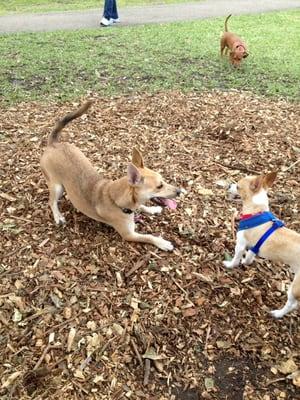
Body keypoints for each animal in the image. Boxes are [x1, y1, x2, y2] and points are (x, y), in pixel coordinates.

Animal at [39, 101, 180, 250]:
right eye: (159, 186)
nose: (179, 191)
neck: (117, 200)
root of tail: (53, 144)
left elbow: (142, 206)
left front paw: (152, 209)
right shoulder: (129, 235)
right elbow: (149, 237)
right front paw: (163, 243)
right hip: (57, 187)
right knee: (52, 202)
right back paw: (58, 216)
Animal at [224, 173, 298, 318]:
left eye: (238, 186)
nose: (229, 185)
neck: (256, 211)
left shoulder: (240, 244)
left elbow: (236, 258)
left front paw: (230, 265)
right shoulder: (254, 247)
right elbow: (249, 256)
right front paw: (245, 262)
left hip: (295, 288)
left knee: (291, 304)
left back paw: (278, 313)